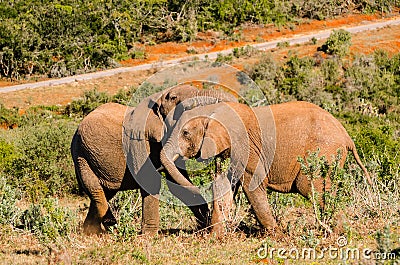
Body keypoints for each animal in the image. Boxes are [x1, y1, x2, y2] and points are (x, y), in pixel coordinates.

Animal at [71, 84, 238, 233]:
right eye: (177, 103)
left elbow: (176, 182)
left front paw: (205, 225)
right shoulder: (139, 142)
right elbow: (150, 181)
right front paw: (149, 237)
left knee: (104, 193)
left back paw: (91, 232)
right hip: (80, 155)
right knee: (97, 193)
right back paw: (107, 223)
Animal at [160, 100, 372, 233]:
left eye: (185, 133)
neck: (214, 109)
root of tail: (347, 136)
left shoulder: (245, 146)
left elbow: (252, 185)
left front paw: (276, 234)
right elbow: (223, 185)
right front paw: (215, 236)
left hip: (324, 152)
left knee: (314, 188)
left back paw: (337, 230)